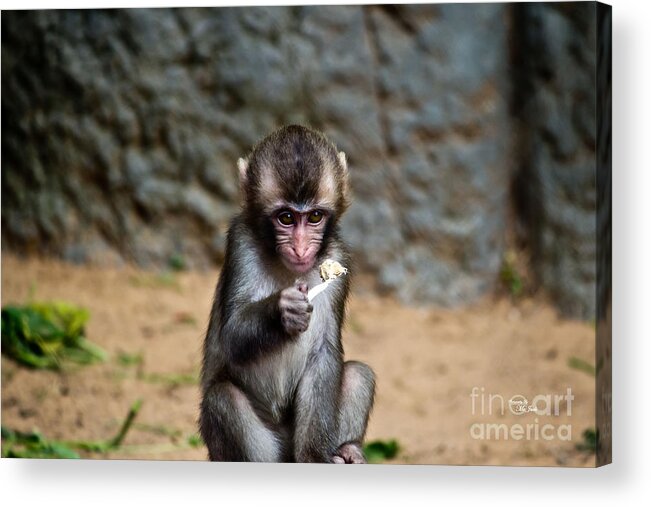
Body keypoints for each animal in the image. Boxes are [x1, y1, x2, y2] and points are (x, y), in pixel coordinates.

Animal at [201, 124, 380, 464]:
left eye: (314, 217)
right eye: (286, 218)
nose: (300, 248)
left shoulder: (337, 257)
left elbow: (324, 350)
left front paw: (314, 457)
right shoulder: (240, 242)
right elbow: (230, 336)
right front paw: (282, 310)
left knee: (357, 373)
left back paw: (349, 449)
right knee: (224, 399)